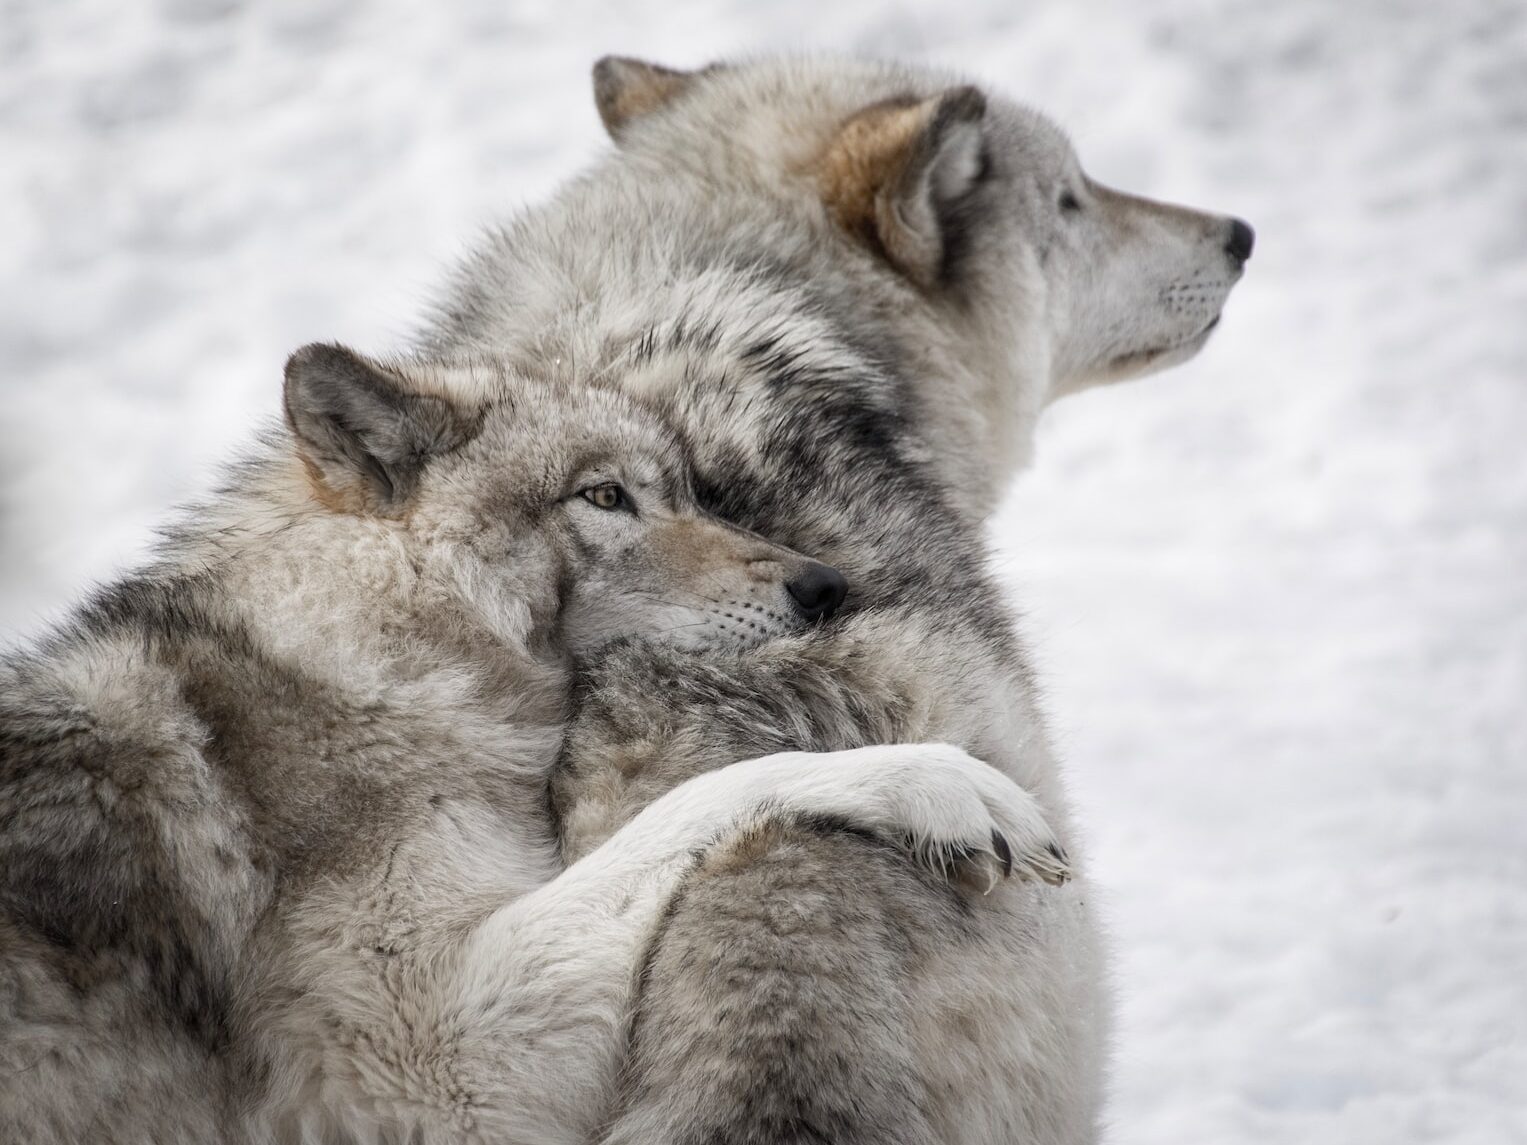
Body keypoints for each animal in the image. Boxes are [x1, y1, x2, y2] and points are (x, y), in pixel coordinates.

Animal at [0, 344, 1068, 1143]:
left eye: (688, 491)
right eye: (604, 496)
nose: (823, 587)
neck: (366, 654)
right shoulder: (437, 1069)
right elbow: (717, 790)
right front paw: (942, 784)